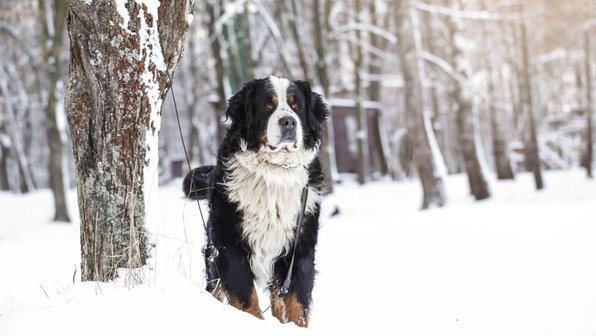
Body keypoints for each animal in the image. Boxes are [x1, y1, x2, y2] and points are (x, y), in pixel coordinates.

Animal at [184, 75, 328, 326]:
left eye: (296, 106)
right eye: (268, 105)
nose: (289, 122)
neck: (275, 173)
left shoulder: (300, 246)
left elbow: (297, 304)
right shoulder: (229, 244)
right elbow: (245, 300)